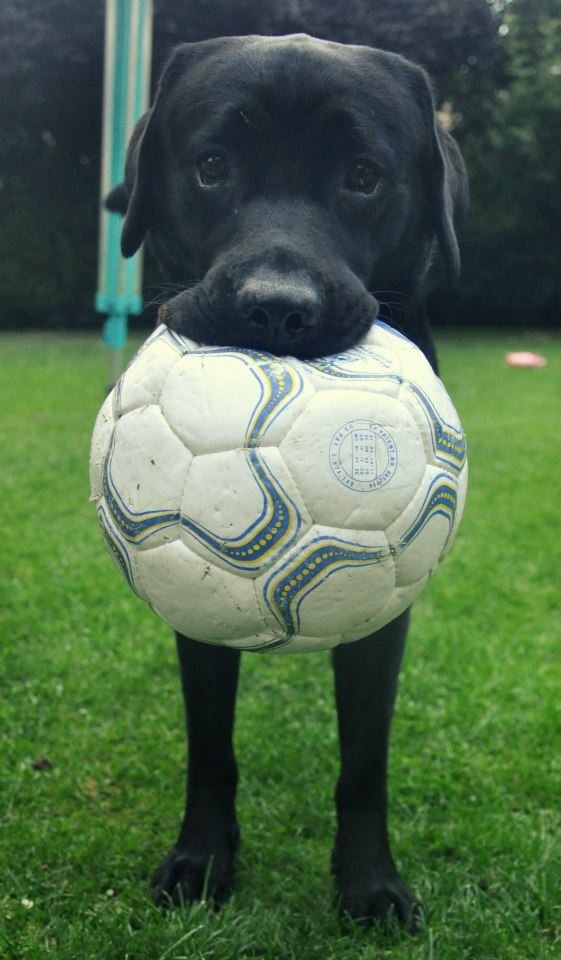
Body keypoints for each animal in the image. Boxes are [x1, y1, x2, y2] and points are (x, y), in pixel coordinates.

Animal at [107, 33, 466, 928]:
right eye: (210, 165)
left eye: (363, 175)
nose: (276, 308)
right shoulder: (191, 596)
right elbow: (210, 744)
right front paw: (201, 860)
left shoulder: (386, 606)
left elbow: (364, 757)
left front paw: (370, 884)